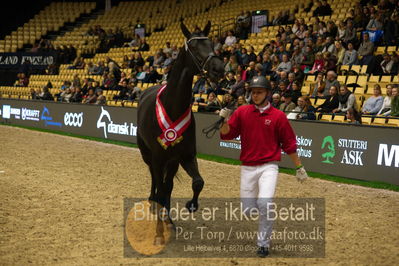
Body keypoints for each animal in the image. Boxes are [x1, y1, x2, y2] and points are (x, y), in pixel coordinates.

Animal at [138, 21, 225, 237]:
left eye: (211, 43)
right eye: (193, 46)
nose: (218, 68)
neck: (173, 107)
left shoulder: (184, 156)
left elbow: (197, 182)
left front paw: (189, 206)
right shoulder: (159, 158)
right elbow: (161, 186)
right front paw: (160, 225)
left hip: (171, 162)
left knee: (167, 184)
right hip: (147, 154)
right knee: (154, 177)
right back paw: (153, 203)